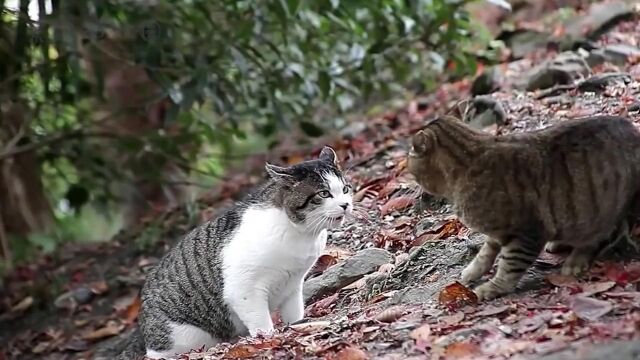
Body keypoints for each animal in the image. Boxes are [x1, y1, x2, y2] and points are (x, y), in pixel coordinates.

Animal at [115, 147, 356, 360]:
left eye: (345, 189)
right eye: (324, 193)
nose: (345, 205)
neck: (299, 233)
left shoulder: (293, 285)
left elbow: (294, 313)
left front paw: (296, 326)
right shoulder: (243, 289)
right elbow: (261, 323)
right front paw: (269, 340)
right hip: (181, 336)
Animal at [408, 116, 640, 300]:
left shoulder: (526, 232)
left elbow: (509, 266)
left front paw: (493, 288)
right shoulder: (499, 231)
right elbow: (485, 253)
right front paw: (473, 272)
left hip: (605, 210)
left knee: (601, 236)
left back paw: (575, 261)